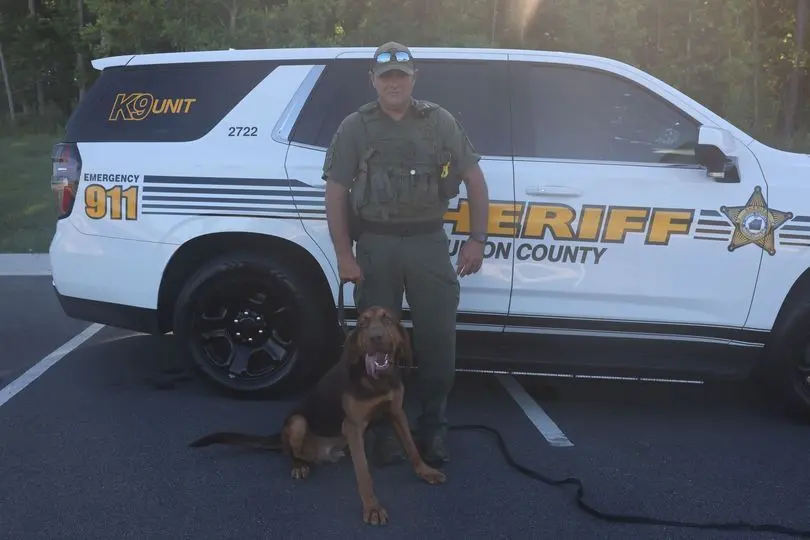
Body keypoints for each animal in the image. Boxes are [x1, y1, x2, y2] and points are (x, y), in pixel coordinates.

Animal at [187, 306, 446, 524]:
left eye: (387, 320)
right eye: (362, 323)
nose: (375, 337)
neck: (377, 381)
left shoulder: (396, 413)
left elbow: (411, 447)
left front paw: (425, 472)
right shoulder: (352, 426)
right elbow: (363, 473)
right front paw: (372, 507)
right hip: (297, 423)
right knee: (289, 451)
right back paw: (299, 465)